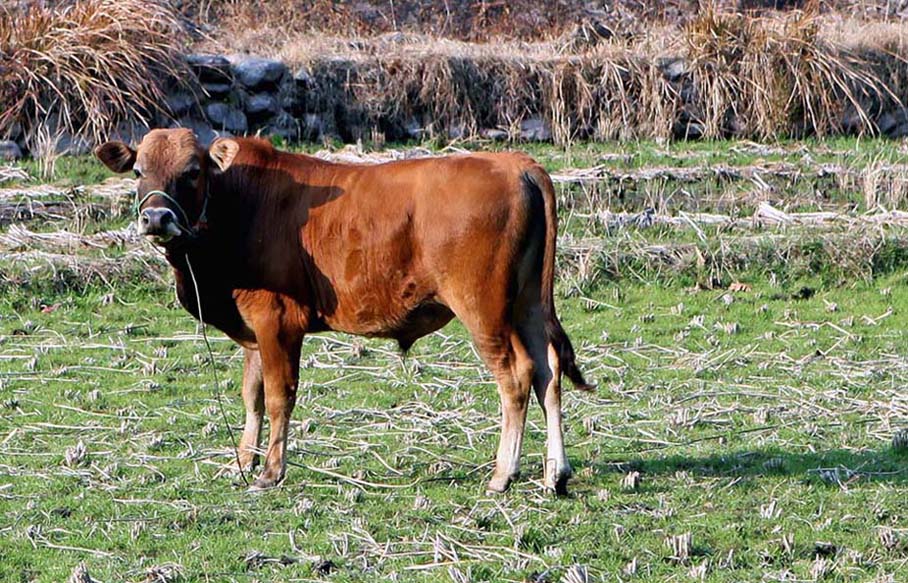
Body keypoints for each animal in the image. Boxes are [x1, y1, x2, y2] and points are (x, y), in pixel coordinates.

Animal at [96, 130, 592, 496]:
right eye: (138, 170)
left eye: (193, 171)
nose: (156, 218)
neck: (240, 204)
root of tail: (514, 163)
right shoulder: (254, 330)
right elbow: (252, 396)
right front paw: (242, 460)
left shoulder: (278, 323)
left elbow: (278, 397)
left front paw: (270, 472)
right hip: (528, 305)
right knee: (548, 373)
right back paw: (556, 473)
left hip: (484, 310)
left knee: (517, 377)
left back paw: (502, 474)